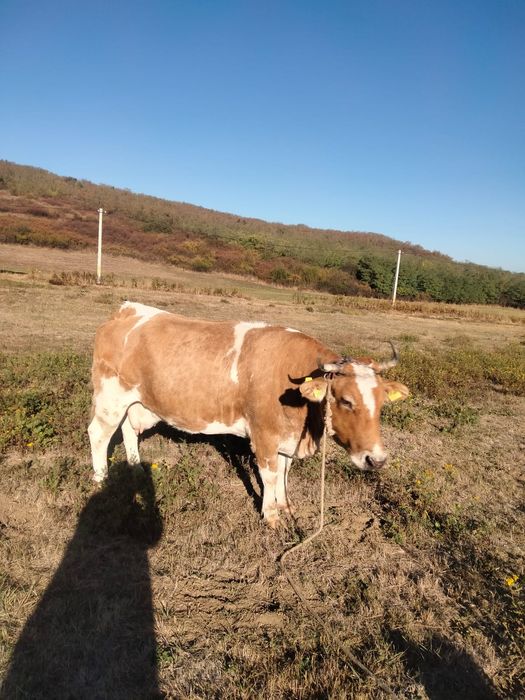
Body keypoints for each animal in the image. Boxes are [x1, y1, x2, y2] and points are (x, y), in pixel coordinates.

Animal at [88, 301, 409, 527]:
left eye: (382, 403)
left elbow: (284, 472)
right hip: (109, 397)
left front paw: (285, 506)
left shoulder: (287, 438)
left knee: (128, 430)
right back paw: (101, 480)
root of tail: (127, 310)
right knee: (99, 434)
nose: (377, 460)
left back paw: (135, 468)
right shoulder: (263, 434)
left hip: (135, 402)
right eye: (345, 401)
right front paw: (272, 517)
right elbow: (269, 476)